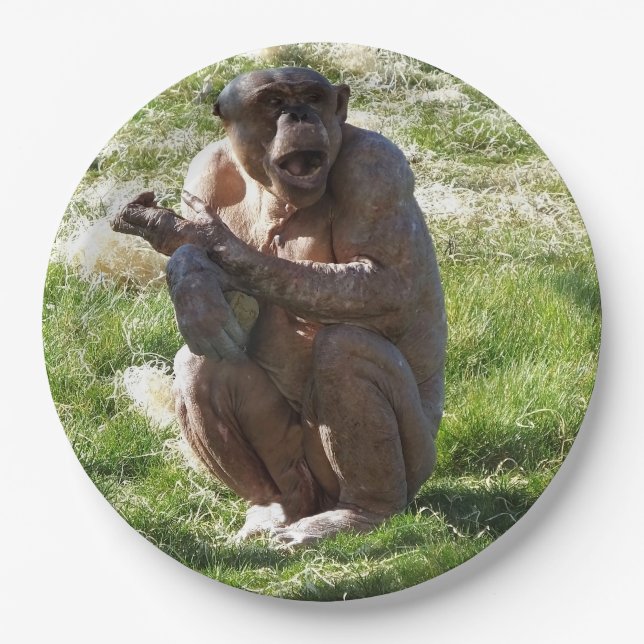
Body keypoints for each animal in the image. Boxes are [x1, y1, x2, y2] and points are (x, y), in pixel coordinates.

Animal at [111, 67, 447, 546]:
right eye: (273, 103)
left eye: (312, 96)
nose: (299, 113)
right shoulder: (204, 169)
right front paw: (191, 273)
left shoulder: (378, 168)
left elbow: (388, 284)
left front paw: (205, 241)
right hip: (297, 470)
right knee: (202, 361)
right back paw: (274, 509)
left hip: (416, 462)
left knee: (346, 351)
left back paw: (361, 514)